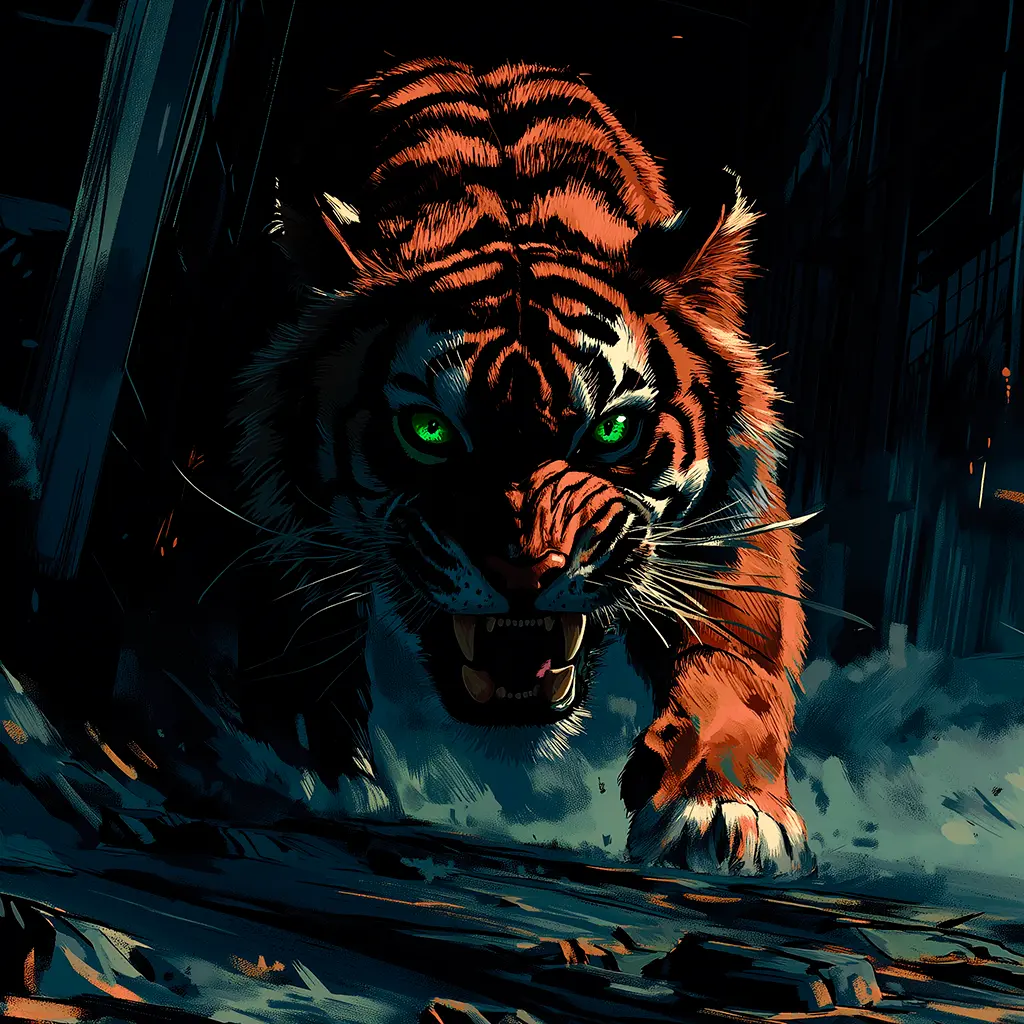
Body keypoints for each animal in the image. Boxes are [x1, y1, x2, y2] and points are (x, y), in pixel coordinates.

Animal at [231, 56, 815, 876]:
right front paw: (320, 773)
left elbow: (735, 670)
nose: (524, 573)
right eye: (428, 431)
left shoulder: (729, 532)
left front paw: (727, 811)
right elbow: (296, 633)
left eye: (612, 430)